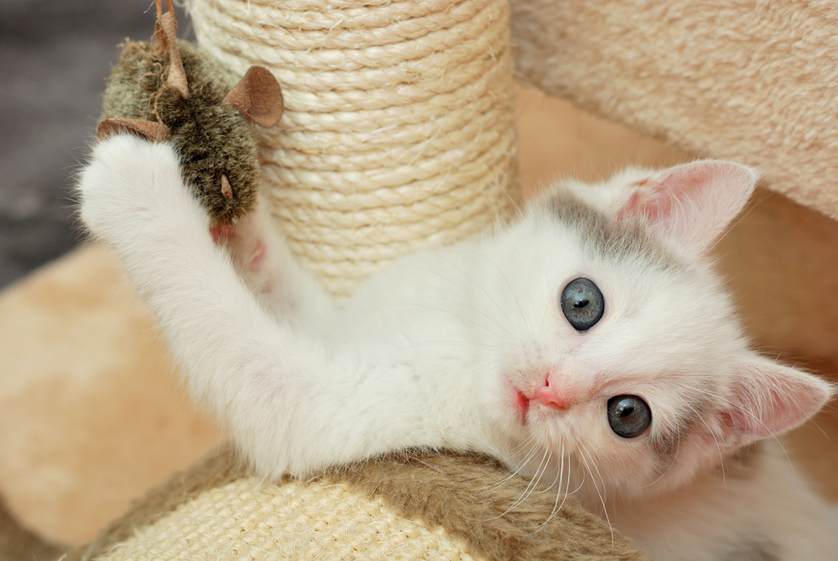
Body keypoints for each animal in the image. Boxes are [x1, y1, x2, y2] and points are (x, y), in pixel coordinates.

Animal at [77, 136, 832, 560]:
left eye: (628, 415)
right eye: (582, 302)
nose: (550, 387)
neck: (460, 334)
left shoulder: (325, 409)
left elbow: (237, 339)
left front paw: (136, 192)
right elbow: (302, 301)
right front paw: (243, 220)